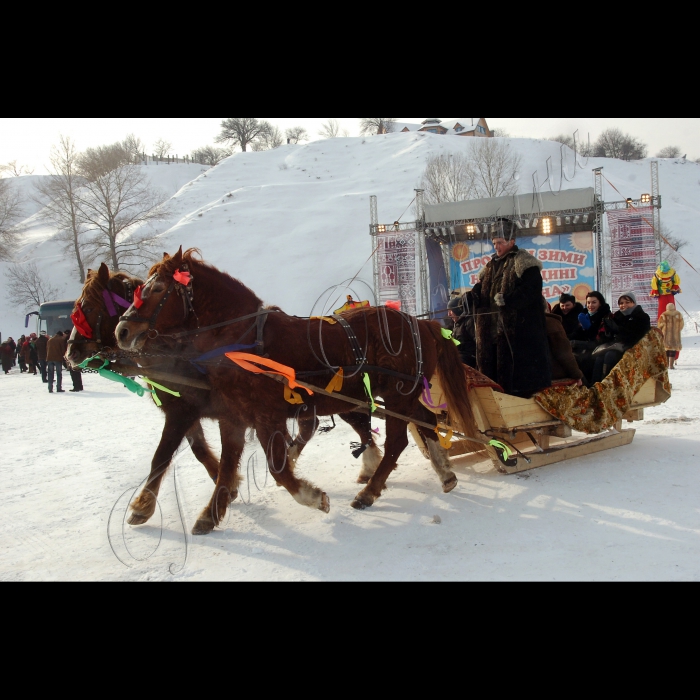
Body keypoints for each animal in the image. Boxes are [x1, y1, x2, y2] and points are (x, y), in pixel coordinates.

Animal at [117, 250, 476, 536]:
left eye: (158, 289)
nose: (122, 329)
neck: (241, 342)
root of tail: (421, 323)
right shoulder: (233, 417)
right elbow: (226, 466)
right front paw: (211, 514)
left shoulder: (264, 416)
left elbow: (276, 467)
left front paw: (313, 497)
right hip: (405, 394)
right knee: (427, 422)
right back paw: (444, 472)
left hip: (399, 395)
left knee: (398, 441)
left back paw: (371, 491)